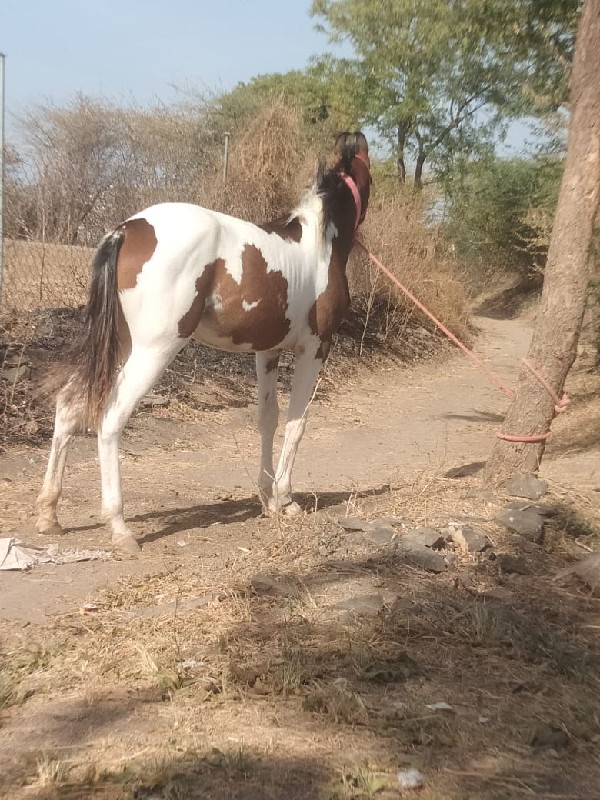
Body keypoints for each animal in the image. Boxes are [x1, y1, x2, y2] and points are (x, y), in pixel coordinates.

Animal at [35, 133, 370, 556]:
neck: (317, 247)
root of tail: (126, 229)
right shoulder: (314, 349)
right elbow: (298, 422)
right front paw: (286, 499)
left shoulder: (267, 351)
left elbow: (268, 418)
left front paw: (267, 499)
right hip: (154, 350)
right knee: (110, 419)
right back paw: (120, 527)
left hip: (119, 346)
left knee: (67, 406)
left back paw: (49, 514)